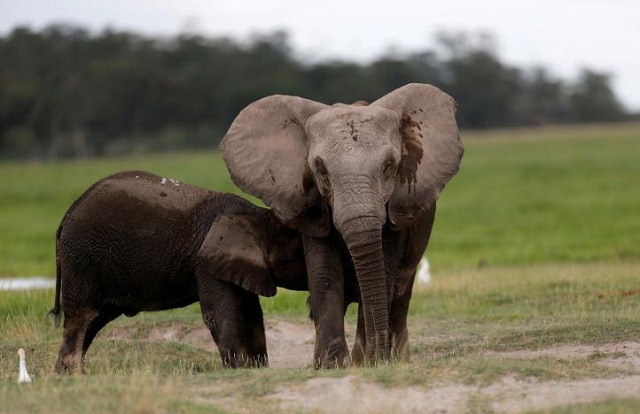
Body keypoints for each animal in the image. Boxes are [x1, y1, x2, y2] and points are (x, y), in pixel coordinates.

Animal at [50, 170, 304, 374]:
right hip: (82, 258)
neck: (259, 216)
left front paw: (254, 370)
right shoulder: (207, 262)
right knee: (82, 315)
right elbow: (221, 313)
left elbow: (250, 313)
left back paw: (65, 374)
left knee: (96, 318)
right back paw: (75, 375)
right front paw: (239, 370)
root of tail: (66, 216)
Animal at [222, 82, 462, 368]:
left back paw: (398, 359)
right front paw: (333, 365)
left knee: (401, 290)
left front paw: (366, 362)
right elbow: (326, 274)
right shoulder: (311, 205)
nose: (377, 355)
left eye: (389, 166)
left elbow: (383, 272)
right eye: (320, 169)